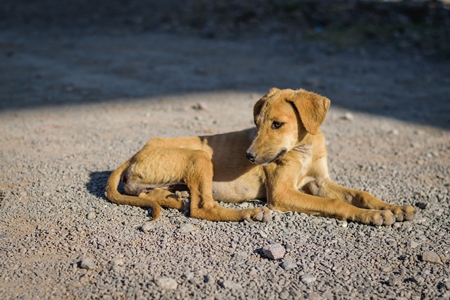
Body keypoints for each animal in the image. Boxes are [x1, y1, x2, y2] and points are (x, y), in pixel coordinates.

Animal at [105, 86, 414, 225]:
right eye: (256, 124)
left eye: (277, 124)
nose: (250, 156)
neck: (303, 150)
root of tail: (135, 153)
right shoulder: (282, 193)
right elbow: (335, 204)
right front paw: (373, 216)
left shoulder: (320, 182)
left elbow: (361, 194)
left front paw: (393, 207)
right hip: (200, 157)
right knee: (202, 208)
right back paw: (249, 212)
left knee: (156, 195)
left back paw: (174, 197)